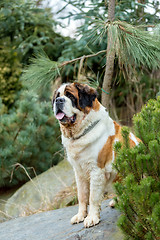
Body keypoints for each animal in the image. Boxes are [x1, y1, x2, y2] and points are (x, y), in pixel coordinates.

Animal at [52, 82, 140, 227]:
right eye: (57, 97)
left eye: (70, 96)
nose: (59, 101)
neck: (81, 132)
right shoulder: (79, 172)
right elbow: (82, 196)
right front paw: (80, 215)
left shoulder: (96, 170)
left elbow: (93, 197)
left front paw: (92, 217)